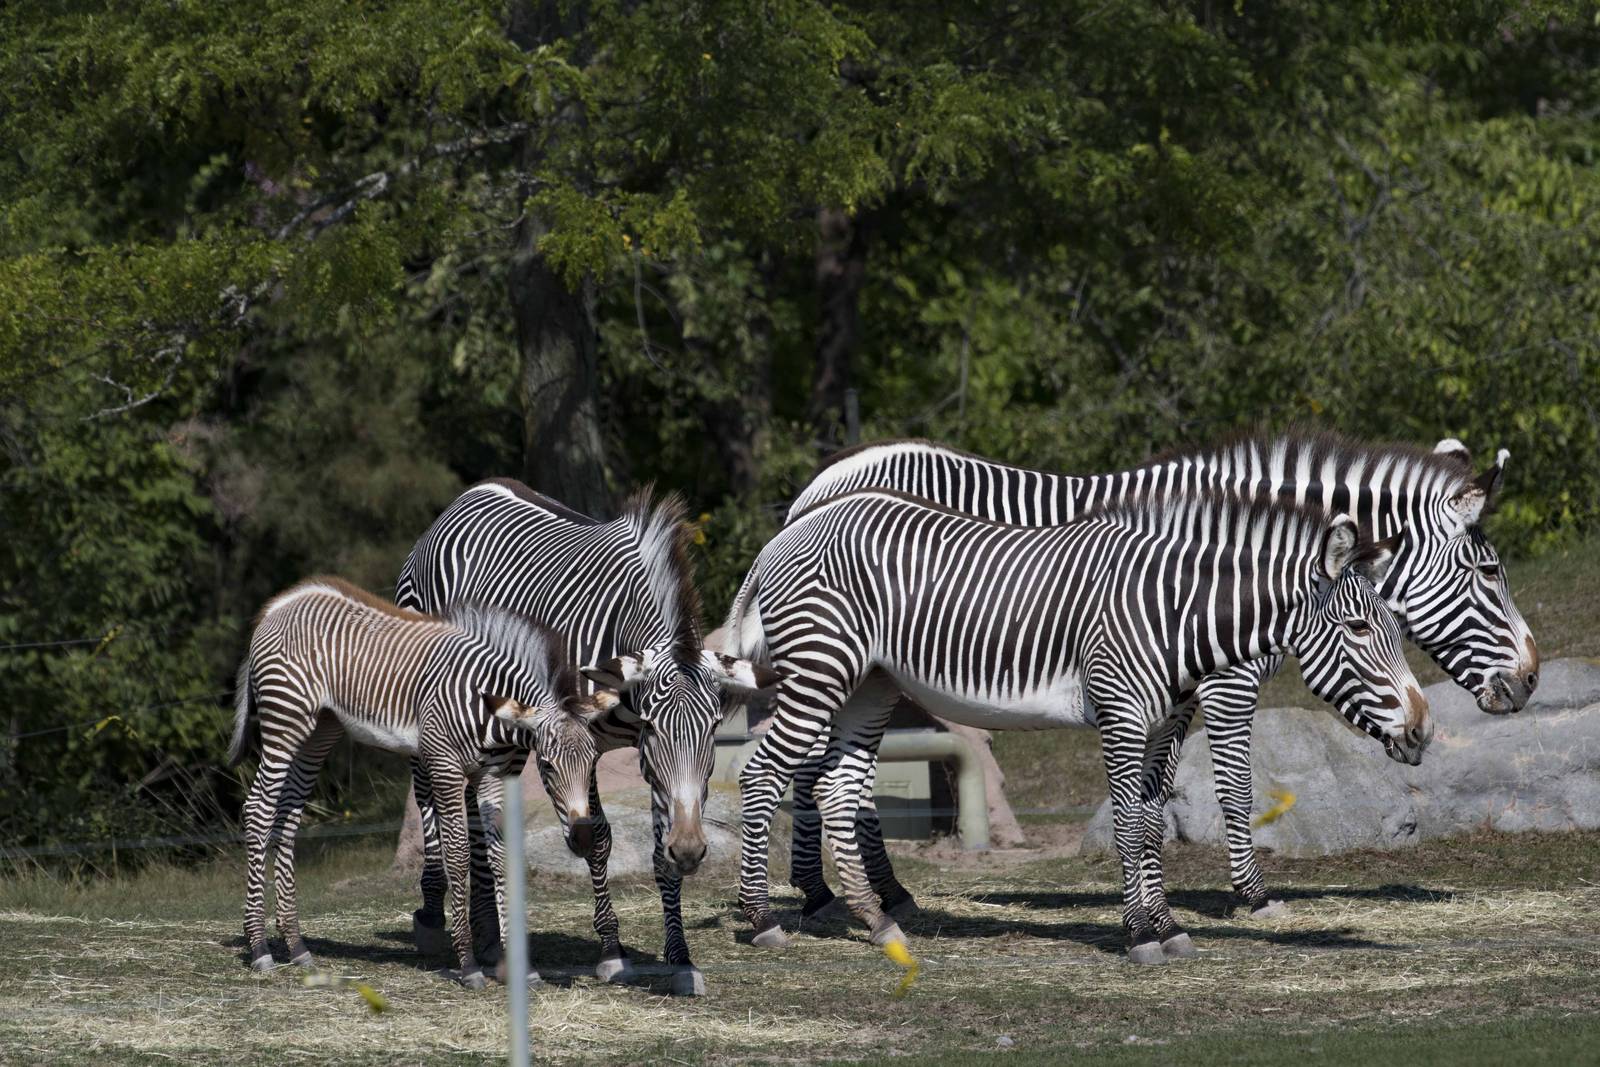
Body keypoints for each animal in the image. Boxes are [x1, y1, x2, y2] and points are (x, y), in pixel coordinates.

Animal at [229, 577, 604, 988]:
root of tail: (280, 604)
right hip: (285, 721)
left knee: (288, 817)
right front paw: (469, 965)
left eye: (593, 763)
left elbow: (500, 857)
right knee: (258, 809)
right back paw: (260, 949)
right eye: (547, 767)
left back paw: (296, 946)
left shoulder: (491, 777)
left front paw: (519, 967)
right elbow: (457, 856)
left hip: (318, 730)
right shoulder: (445, 767)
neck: (487, 708)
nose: (583, 839)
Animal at [395, 481, 777, 996]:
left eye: (715, 727)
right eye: (654, 724)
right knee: (428, 795)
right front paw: (612, 952)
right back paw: (435, 918)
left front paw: (680, 958)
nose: (692, 851)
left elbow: (660, 848)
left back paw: (490, 936)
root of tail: (467, 497)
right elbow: (597, 838)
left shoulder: (651, 765)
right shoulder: (584, 741)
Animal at [723, 488, 1430, 962]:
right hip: (821, 671)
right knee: (762, 776)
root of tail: (785, 535)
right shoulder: (1120, 712)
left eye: (1395, 628)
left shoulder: (1165, 721)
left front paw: (1166, 925)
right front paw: (1141, 934)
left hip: (869, 685)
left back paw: (876, 921)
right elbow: (1126, 822)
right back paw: (760, 921)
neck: (1175, 611)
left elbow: (1150, 819)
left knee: (835, 789)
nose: (1424, 729)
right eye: (1359, 628)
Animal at [775, 432, 1537, 921]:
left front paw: (1152, 895)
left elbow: (1151, 795)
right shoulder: (1227, 682)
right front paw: (1252, 895)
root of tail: (818, 487)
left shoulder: (1173, 694)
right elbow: (1235, 786)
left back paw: (875, 894)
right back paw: (823, 895)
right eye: (1487, 571)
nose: (1531, 679)